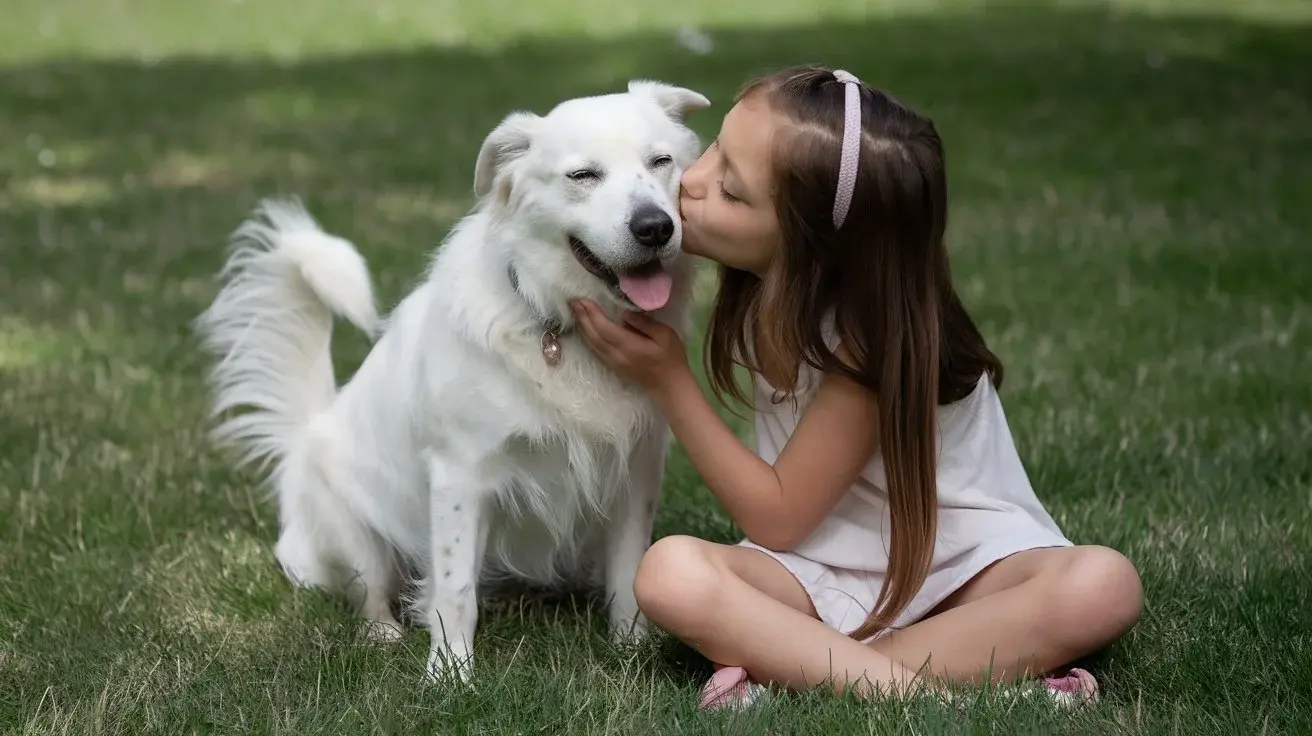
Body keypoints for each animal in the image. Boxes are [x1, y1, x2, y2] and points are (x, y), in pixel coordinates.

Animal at [191, 77, 713, 682]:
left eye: (661, 162)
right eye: (584, 175)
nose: (655, 227)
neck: (557, 320)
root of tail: (304, 437)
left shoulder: (634, 471)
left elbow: (630, 572)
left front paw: (631, 650)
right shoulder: (461, 475)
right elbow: (455, 587)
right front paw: (450, 675)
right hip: (353, 529)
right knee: (372, 592)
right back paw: (384, 633)